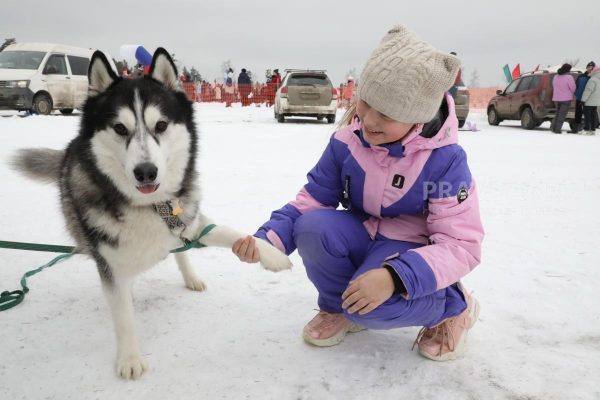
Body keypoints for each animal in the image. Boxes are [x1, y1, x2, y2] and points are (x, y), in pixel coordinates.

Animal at [10, 48, 290, 380]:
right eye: (120, 128)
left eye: (161, 126)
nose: (146, 172)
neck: (149, 206)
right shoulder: (109, 263)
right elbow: (123, 317)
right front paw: (129, 358)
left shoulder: (190, 219)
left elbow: (231, 233)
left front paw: (271, 255)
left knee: (183, 253)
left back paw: (191, 277)